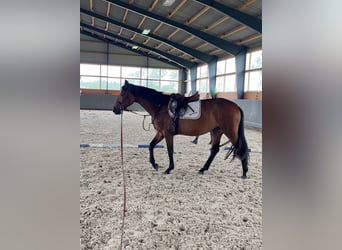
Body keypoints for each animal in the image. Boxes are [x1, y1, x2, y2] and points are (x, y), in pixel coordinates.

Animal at [112, 80, 248, 178]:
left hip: (230, 132)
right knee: (214, 150)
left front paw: (169, 168)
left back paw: (244, 172)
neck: (160, 106)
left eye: (122, 93)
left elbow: (170, 150)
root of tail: (235, 106)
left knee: (240, 148)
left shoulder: (167, 134)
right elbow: (151, 145)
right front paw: (154, 164)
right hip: (217, 131)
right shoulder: (161, 133)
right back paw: (203, 169)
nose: (115, 109)